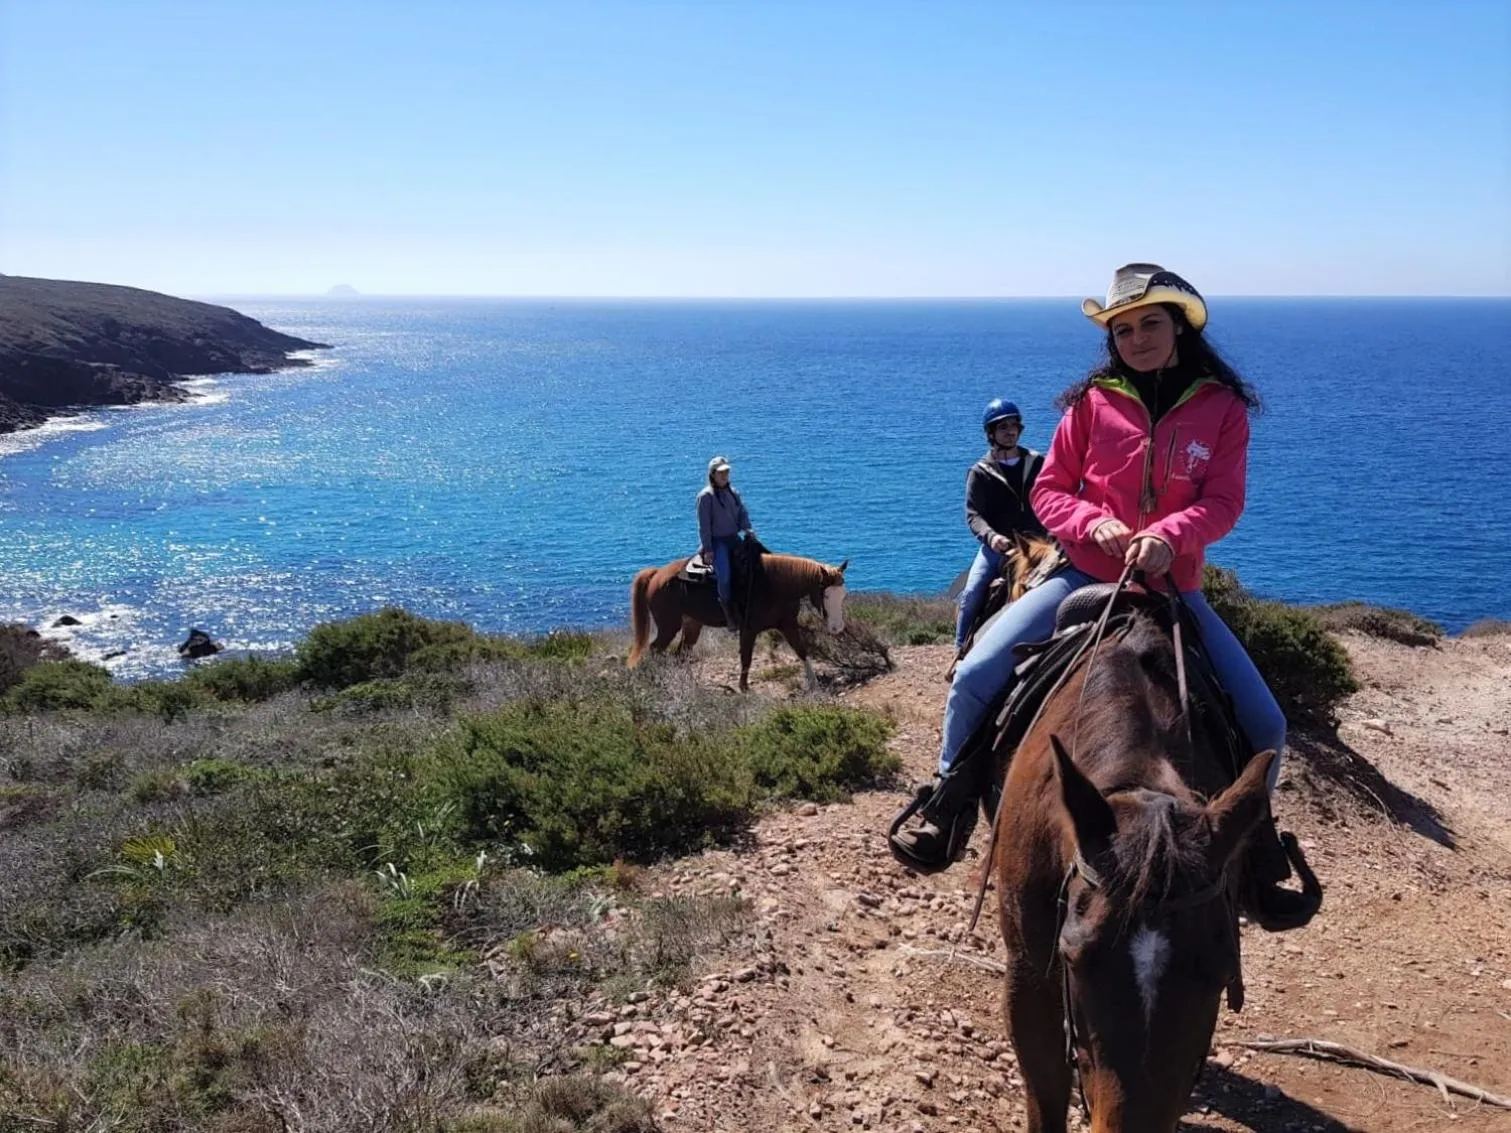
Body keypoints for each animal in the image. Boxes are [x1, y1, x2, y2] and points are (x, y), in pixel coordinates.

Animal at [626, 549, 848, 691]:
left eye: (843, 595)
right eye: (825, 595)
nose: (837, 628)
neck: (775, 586)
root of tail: (657, 574)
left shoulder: (787, 625)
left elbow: (802, 651)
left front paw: (814, 684)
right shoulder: (748, 630)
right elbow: (746, 658)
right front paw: (744, 688)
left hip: (692, 625)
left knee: (681, 653)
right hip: (669, 626)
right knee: (655, 649)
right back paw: (657, 679)